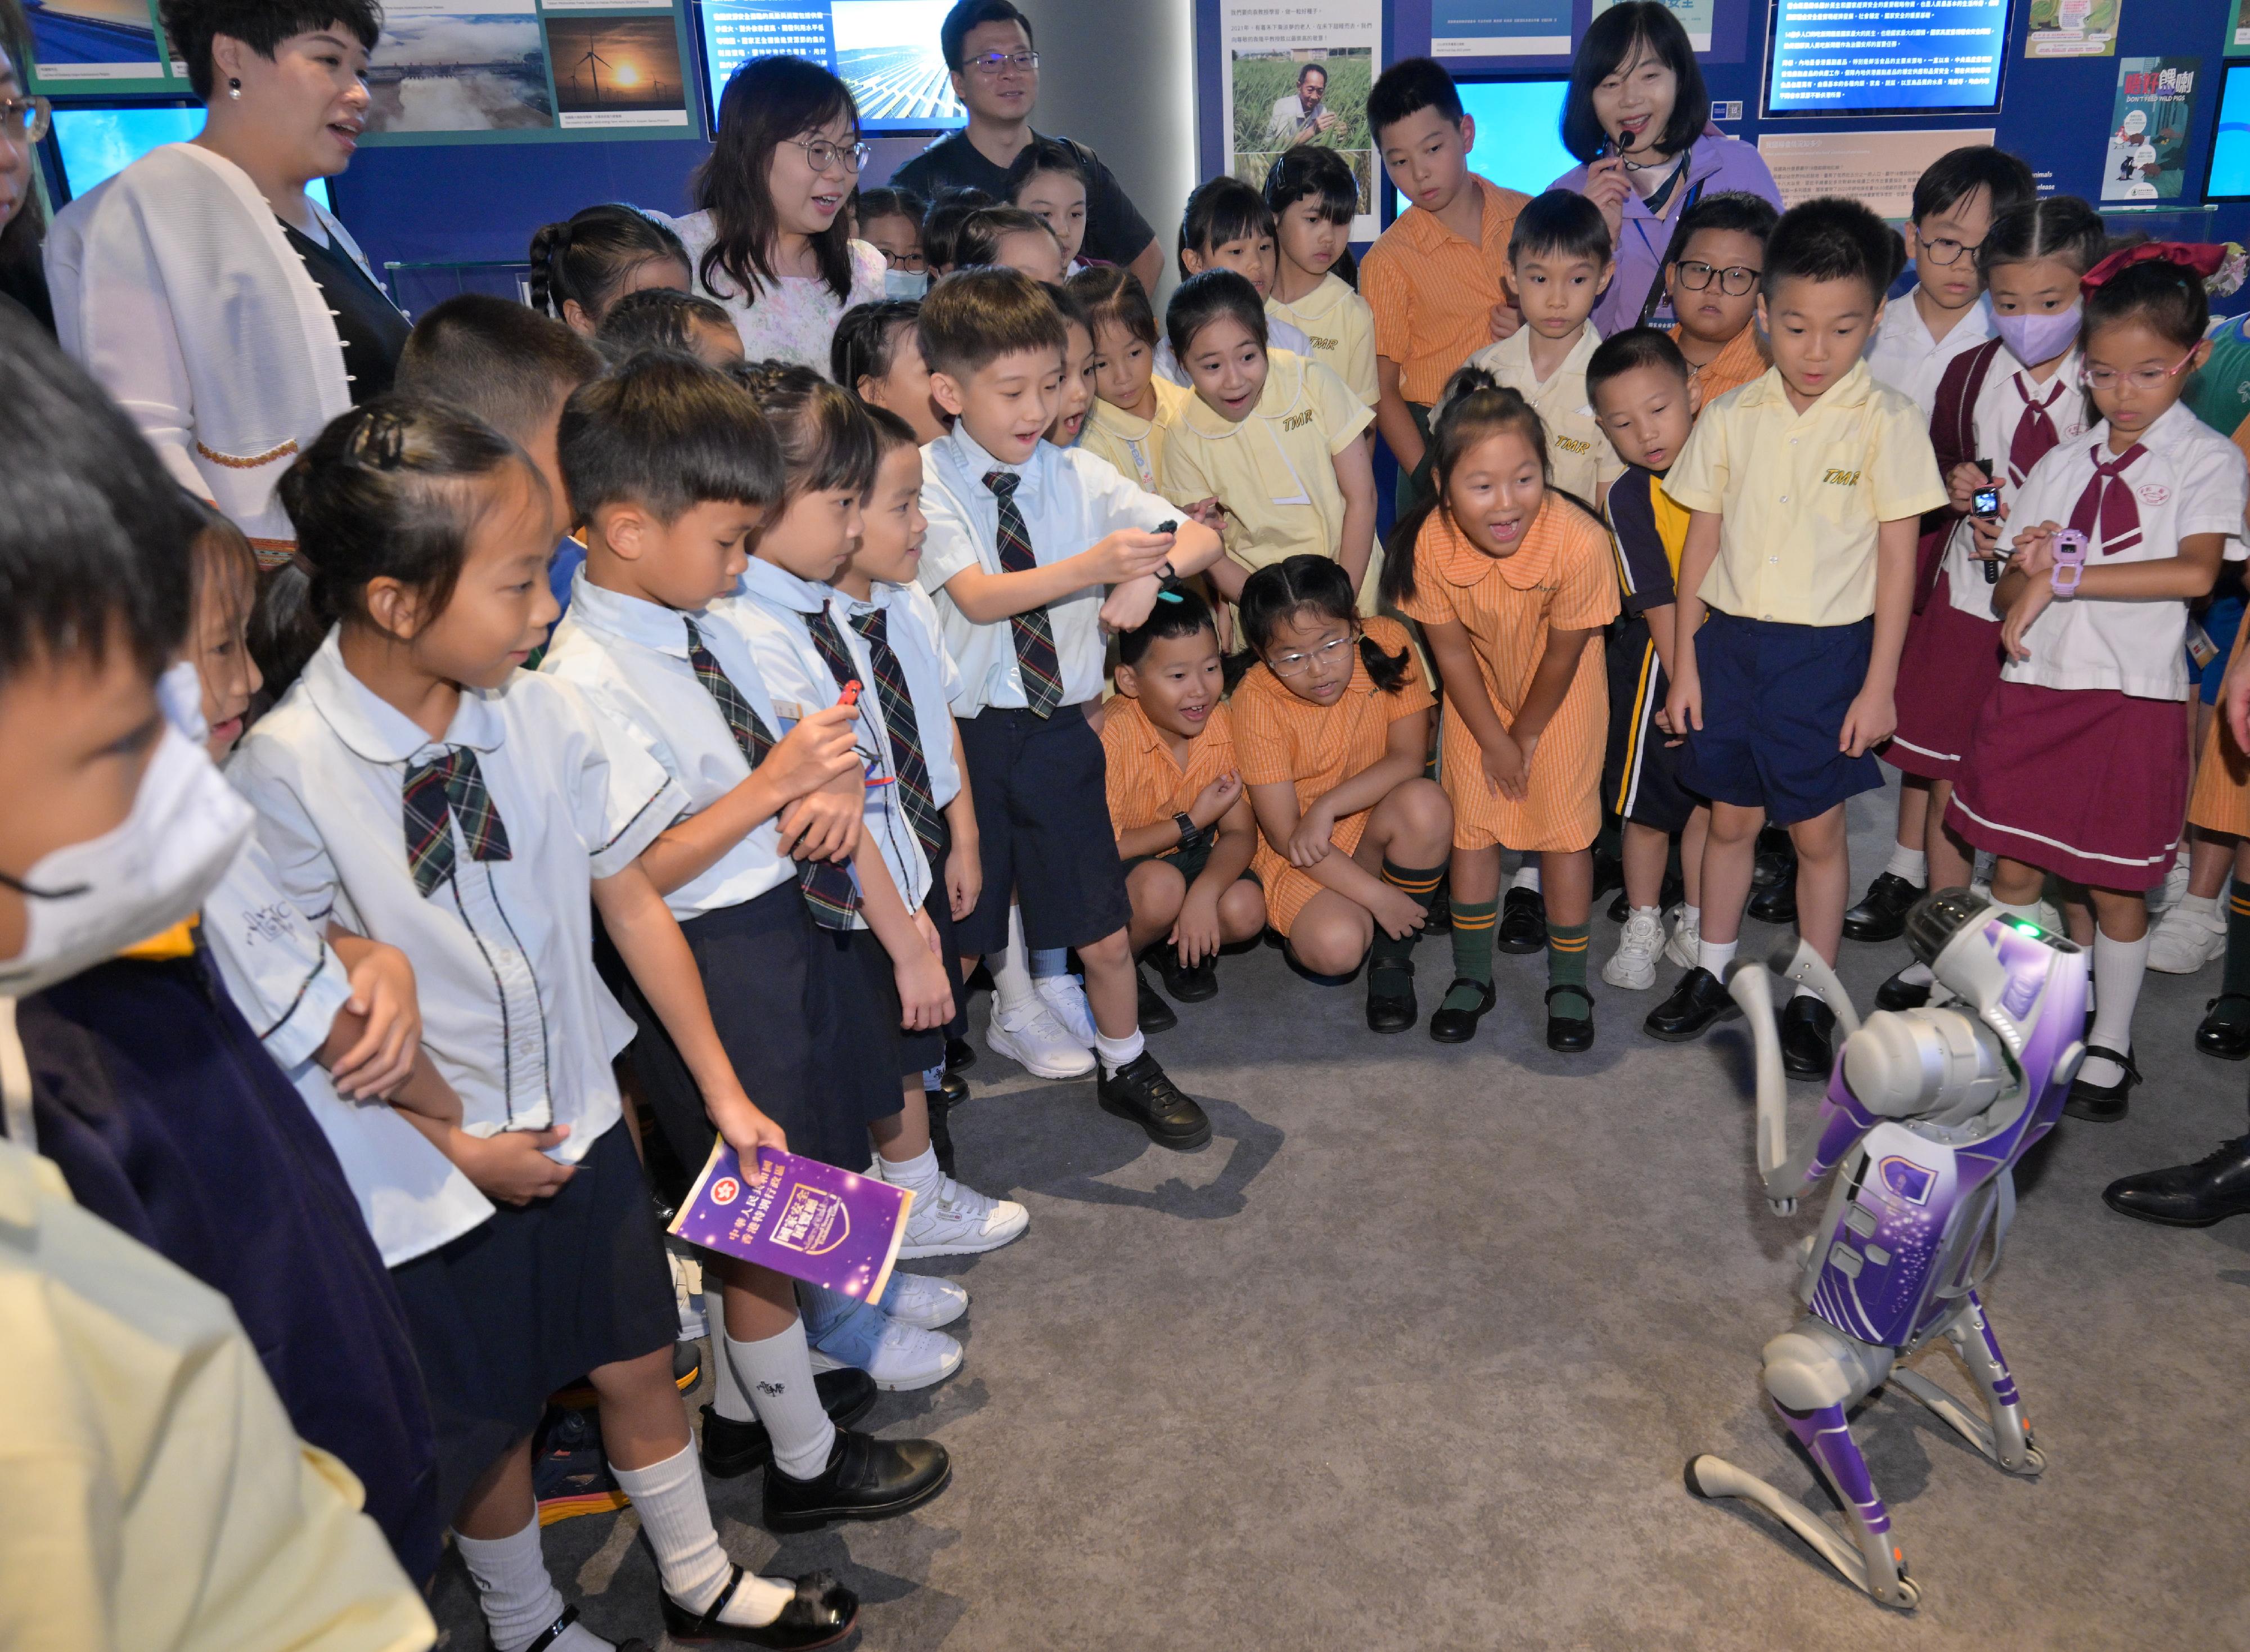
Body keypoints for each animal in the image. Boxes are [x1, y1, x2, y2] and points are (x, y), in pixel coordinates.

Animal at [1692, 900, 2088, 1611]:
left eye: (1958, 913)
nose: (1930, 909)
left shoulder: (1886, 1061)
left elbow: (1821, 1140)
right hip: (1956, 1306)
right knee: (1984, 1361)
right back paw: (2010, 1446)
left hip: (1820, 1360)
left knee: (1804, 1390)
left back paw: (1880, 1575)